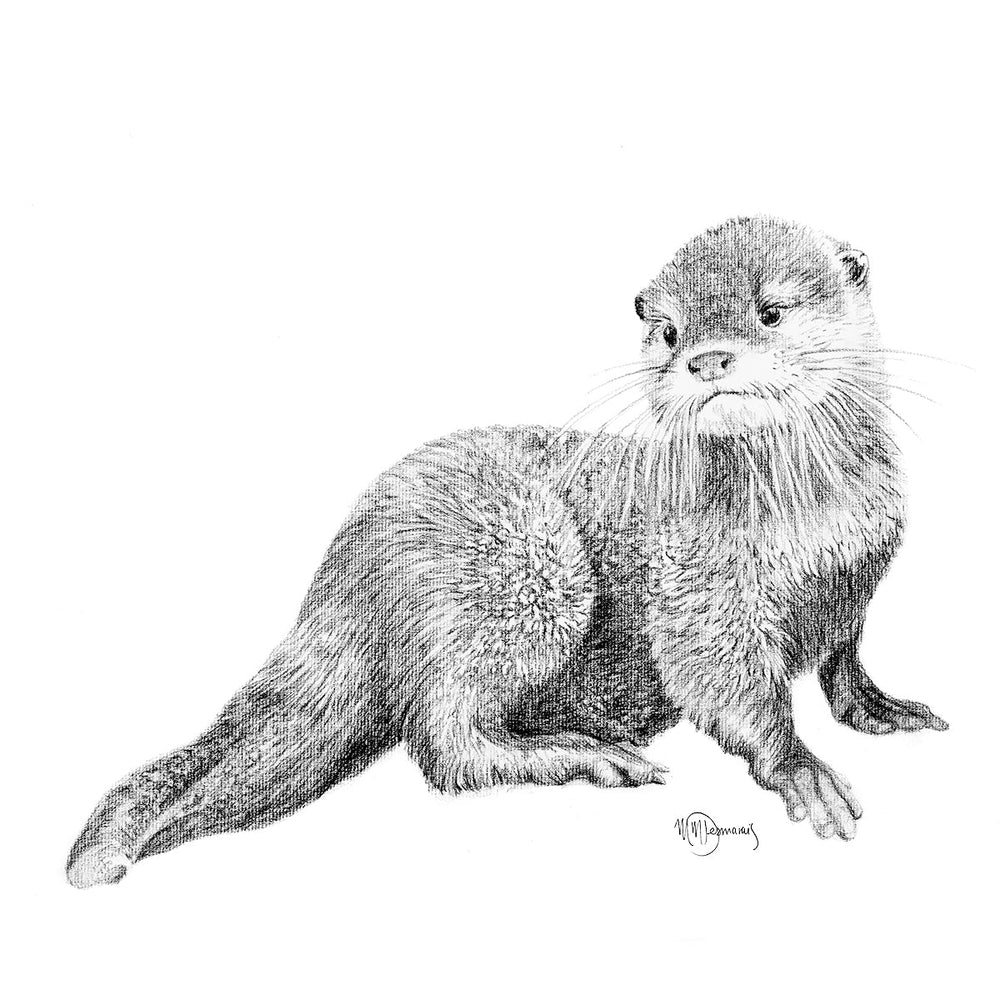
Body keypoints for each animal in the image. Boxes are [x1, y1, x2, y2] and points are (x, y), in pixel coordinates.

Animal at [67, 215, 947, 888]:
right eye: (667, 332)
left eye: (771, 312)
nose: (706, 358)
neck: (810, 523)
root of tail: (345, 569)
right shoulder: (700, 587)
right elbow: (728, 687)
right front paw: (802, 769)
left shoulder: (856, 580)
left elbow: (843, 657)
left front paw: (883, 708)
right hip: (521, 570)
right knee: (445, 746)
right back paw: (589, 756)